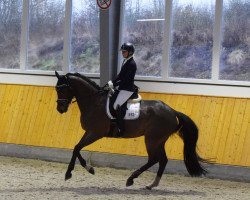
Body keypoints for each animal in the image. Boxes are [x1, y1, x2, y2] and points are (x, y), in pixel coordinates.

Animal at [54, 71, 207, 189]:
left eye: (62, 89)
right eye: (56, 89)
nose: (60, 109)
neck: (94, 102)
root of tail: (172, 111)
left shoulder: (95, 133)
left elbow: (77, 148)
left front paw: (70, 173)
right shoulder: (89, 132)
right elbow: (76, 148)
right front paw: (89, 169)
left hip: (152, 139)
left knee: (154, 159)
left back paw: (131, 179)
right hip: (159, 140)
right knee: (163, 160)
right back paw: (151, 185)